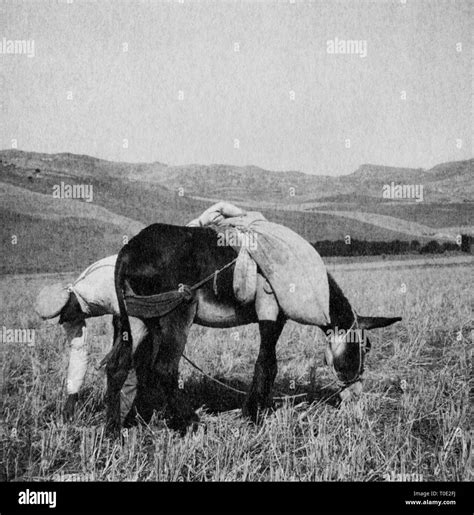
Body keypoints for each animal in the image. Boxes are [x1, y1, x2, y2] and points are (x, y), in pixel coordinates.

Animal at [106, 224, 400, 434]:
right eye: (366, 347)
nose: (355, 395)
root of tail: (129, 250)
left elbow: (267, 364)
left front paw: (259, 410)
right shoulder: (274, 315)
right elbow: (267, 364)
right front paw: (253, 415)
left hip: (139, 320)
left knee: (120, 367)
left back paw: (117, 428)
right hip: (178, 313)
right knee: (164, 368)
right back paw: (190, 422)